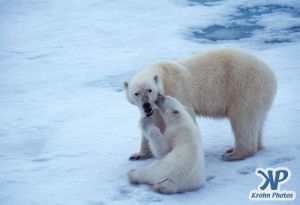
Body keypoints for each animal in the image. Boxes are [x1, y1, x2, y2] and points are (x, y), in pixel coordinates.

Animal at [124, 48, 276, 161]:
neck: (162, 74)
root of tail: (271, 75)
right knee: (256, 121)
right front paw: (138, 154)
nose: (146, 105)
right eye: (136, 93)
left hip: (245, 87)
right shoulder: (154, 108)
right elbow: (153, 122)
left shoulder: (177, 89)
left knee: (242, 119)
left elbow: (186, 115)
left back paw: (233, 154)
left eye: (150, 90)